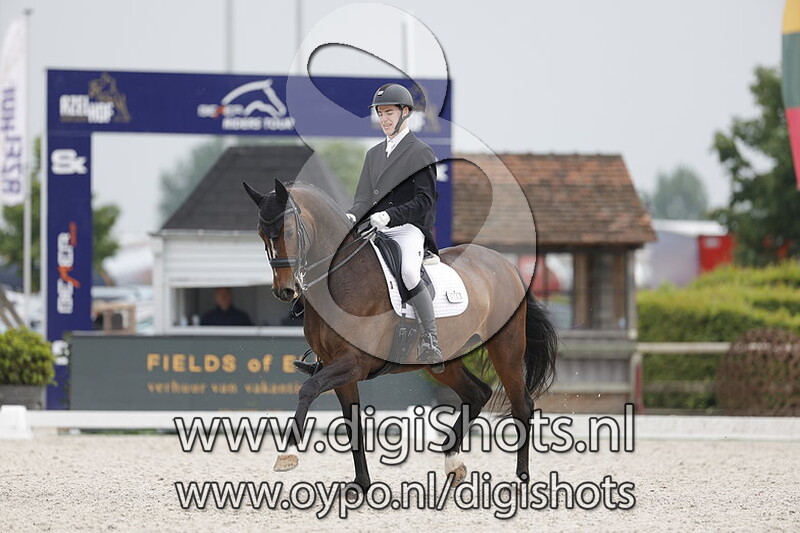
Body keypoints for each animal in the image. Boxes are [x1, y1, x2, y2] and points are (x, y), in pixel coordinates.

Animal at [244, 179, 558, 491]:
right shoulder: (338, 366)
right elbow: (352, 422)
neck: (342, 278)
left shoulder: (354, 363)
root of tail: (505, 265)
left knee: (521, 405)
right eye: (260, 234)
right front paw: (361, 484)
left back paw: (521, 478)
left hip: (506, 349)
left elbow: (308, 388)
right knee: (477, 393)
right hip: (443, 362)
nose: (284, 291)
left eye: (289, 231)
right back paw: (453, 463)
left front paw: (287, 453)